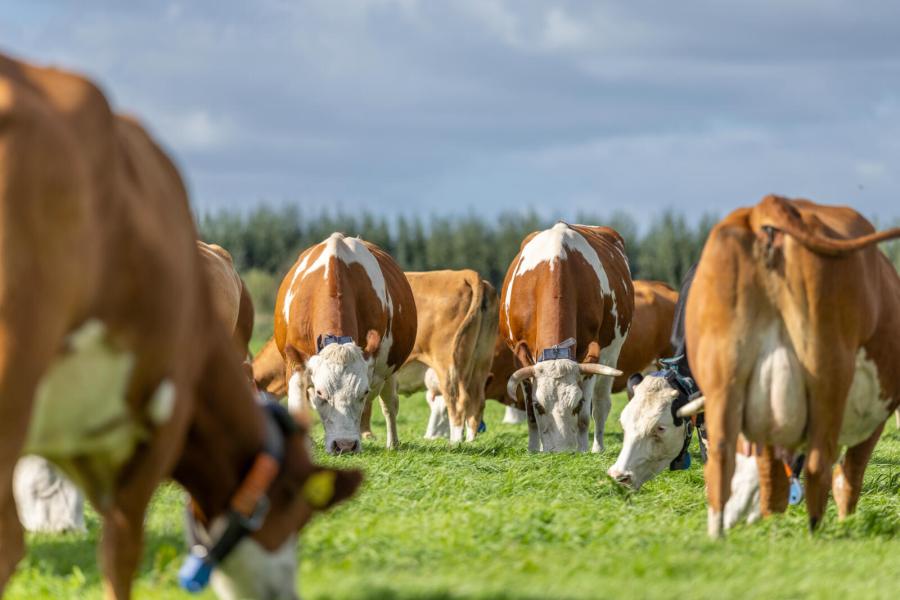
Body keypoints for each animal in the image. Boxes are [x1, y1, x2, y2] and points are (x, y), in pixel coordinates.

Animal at [274, 233, 417, 454]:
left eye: (363, 392)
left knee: (390, 404)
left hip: (391, 368)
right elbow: (297, 404)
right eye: (321, 392)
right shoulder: (295, 361)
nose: (345, 445)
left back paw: (392, 443)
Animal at [501, 222, 634, 452]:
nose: (561, 453)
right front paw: (533, 449)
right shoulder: (520, 358)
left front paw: (583, 449)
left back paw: (597, 447)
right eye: (539, 405)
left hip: (612, 353)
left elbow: (584, 417)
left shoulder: (591, 358)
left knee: (601, 405)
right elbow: (530, 416)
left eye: (577, 403)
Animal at [684, 195, 900, 537]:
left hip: (723, 380)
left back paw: (718, 533)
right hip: (828, 376)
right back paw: (816, 533)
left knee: (720, 456)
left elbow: (772, 480)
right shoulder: (875, 415)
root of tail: (769, 205)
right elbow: (849, 475)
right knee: (818, 464)